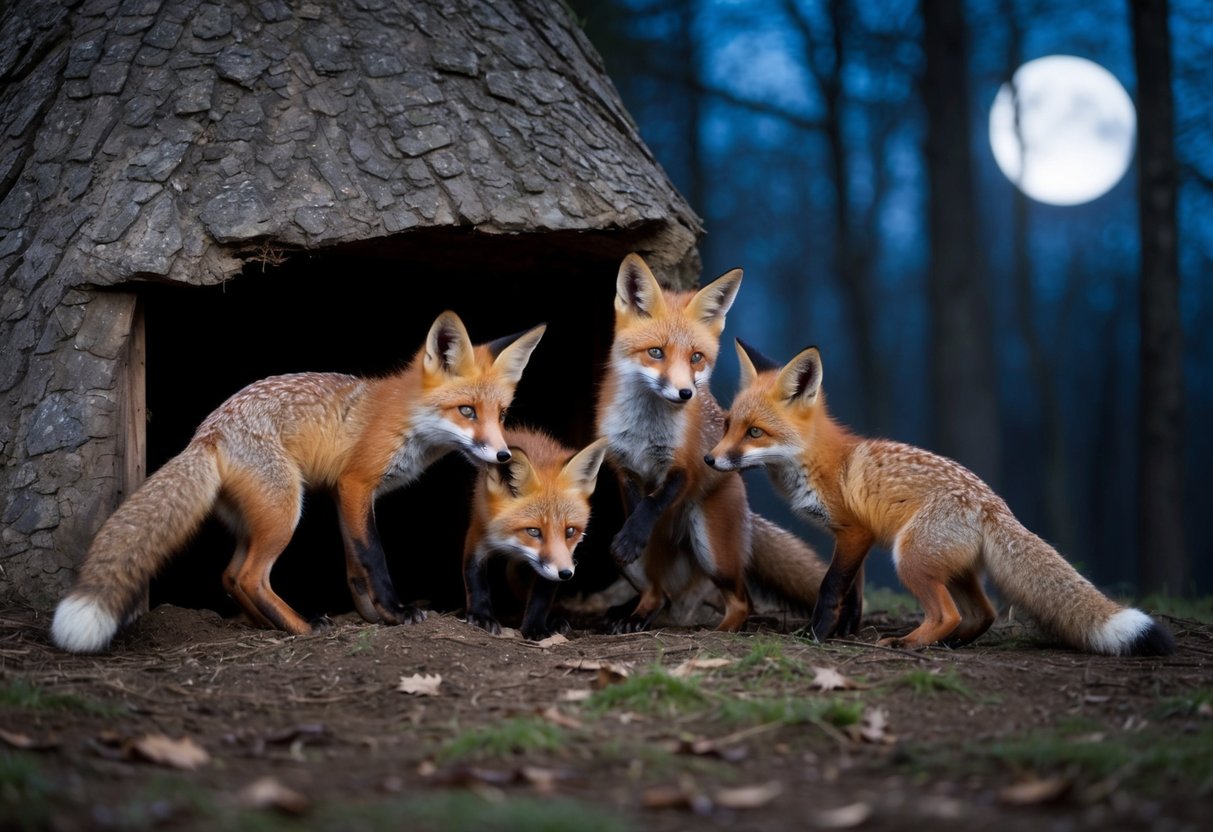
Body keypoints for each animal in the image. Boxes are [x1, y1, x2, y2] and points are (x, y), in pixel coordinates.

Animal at [50, 311, 546, 654]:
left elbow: (354, 566)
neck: (406, 421)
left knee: (230, 574)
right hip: (286, 511)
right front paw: (397, 611)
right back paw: (301, 626)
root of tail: (206, 434)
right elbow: (373, 556)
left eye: (500, 414)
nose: (503, 455)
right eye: (466, 411)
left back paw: (267, 625)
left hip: (260, 518)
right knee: (249, 576)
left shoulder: (348, 496)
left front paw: (371, 615)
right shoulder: (355, 484)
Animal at [462, 428, 609, 640]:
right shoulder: (478, 533)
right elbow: (476, 579)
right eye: (533, 531)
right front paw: (481, 616)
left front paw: (536, 628)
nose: (566, 574)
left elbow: (541, 598)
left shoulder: (558, 562)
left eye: (570, 531)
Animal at [595, 253, 830, 633]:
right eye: (655, 352)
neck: (646, 428)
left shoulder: (686, 465)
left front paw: (638, 530)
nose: (685, 393)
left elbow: (654, 501)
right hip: (635, 565)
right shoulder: (622, 463)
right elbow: (638, 506)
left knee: (741, 600)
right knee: (658, 593)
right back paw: (633, 614)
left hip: (713, 552)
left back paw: (723, 628)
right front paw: (634, 534)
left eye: (696, 357)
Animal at [705, 339, 1176, 657]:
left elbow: (829, 587)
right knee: (983, 613)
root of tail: (993, 504)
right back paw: (953, 644)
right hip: (952, 568)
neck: (818, 464)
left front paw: (818, 635)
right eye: (728, 425)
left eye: (755, 433)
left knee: (947, 613)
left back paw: (910, 643)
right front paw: (845, 632)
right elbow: (852, 593)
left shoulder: (854, 533)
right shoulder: (853, 539)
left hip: (910, 558)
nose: (709, 459)